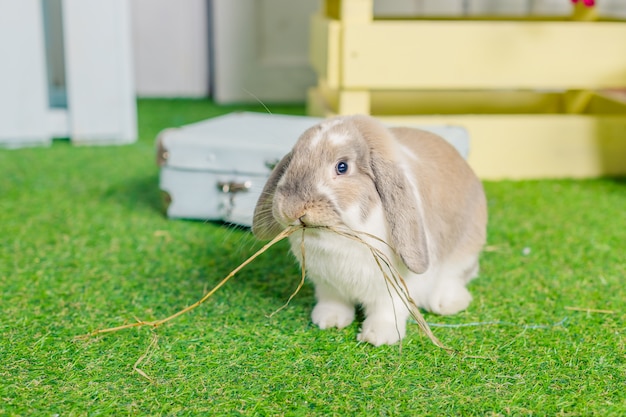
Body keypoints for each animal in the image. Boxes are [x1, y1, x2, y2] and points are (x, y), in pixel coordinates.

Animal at [251, 114, 486, 344]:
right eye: (292, 162)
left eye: (342, 167)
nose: (291, 209)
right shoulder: (328, 286)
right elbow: (333, 302)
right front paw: (329, 321)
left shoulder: (395, 290)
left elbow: (388, 311)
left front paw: (377, 336)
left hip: (464, 252)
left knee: (455, 276)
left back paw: (447, 303)